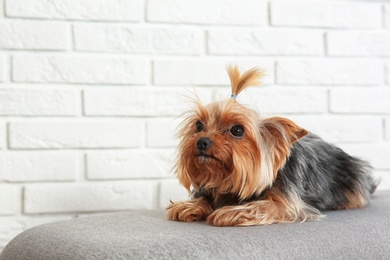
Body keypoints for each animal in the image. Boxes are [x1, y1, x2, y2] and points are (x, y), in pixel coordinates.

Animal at [167, 66, 378, 226]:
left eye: (237, 130)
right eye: (198, 126)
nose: (202, 141)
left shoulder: (289, 204)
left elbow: (267, 206)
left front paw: (230, 212)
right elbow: (203, 198)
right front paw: (188, 206)